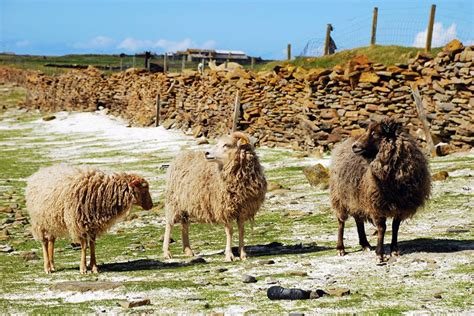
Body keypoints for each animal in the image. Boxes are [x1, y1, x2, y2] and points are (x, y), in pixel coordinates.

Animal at [25, 165, 153, 274]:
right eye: (144, 188)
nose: (151, 205)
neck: (102, 192)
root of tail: (39, 172)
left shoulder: (92, 224)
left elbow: (92, 244)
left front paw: (94, 267)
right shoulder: (78, 223)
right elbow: (83, 245)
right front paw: (83, 268)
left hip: (51, 220)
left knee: (51, 240)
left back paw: (52, 266)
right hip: (39, 221)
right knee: (44, 242)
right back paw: (47, 267)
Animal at [163, 131, 266, 262]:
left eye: (226, 145)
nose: (206, 153)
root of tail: (181, 155)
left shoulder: (243, 209)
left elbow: (241, 230)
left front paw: (243, 254)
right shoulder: (224, 208)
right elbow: (230, 231)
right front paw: (229, 255)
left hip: (185, 204)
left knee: (184, 224)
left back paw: (188, 250)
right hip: (173, 201)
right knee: (169, 224)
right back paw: (166, 252)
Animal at [330, 117, 430, 260]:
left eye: (375, 133)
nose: (355, 146)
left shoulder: (401, 205)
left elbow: (395, 227)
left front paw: (394, 250)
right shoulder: (377, 203)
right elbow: (382, 228)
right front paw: (380, 254)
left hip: (357, 196)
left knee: (358, 219)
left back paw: (365, 244)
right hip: (340, 196)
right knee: (341, 222)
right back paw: (340, 248)